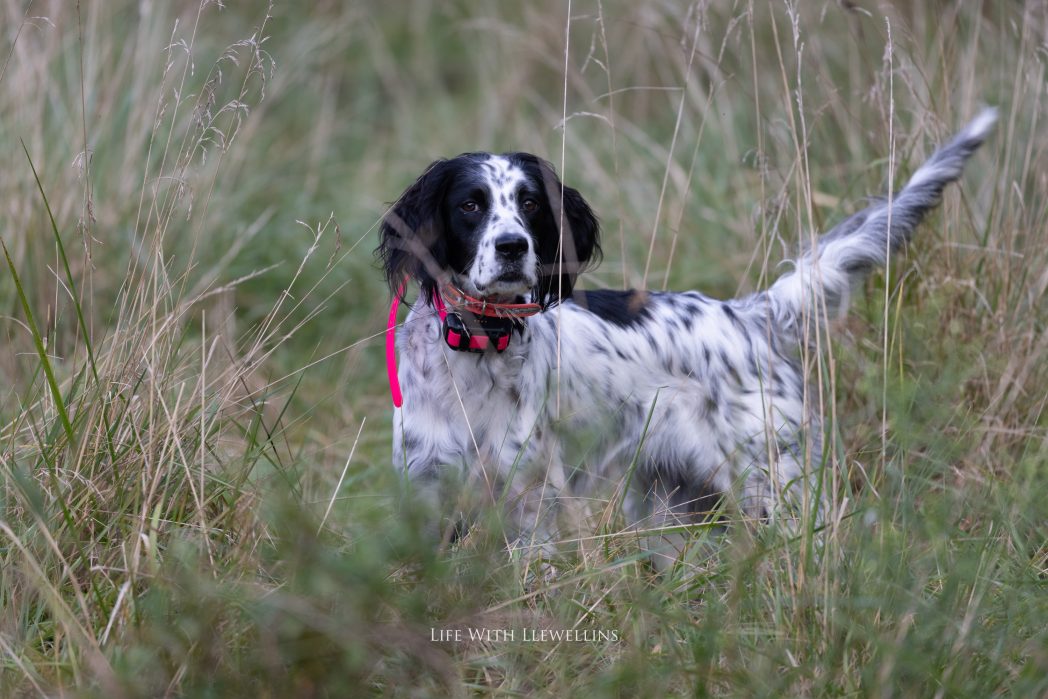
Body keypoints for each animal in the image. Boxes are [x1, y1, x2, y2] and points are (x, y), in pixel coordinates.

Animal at [375, 112, 989, 565]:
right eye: (470, 204)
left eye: (529, 203)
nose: (512, 247)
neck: (480, 346)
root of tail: (749, 314)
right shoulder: (426, 491)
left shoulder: (531, 503)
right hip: (669, 509)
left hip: (777, 488)